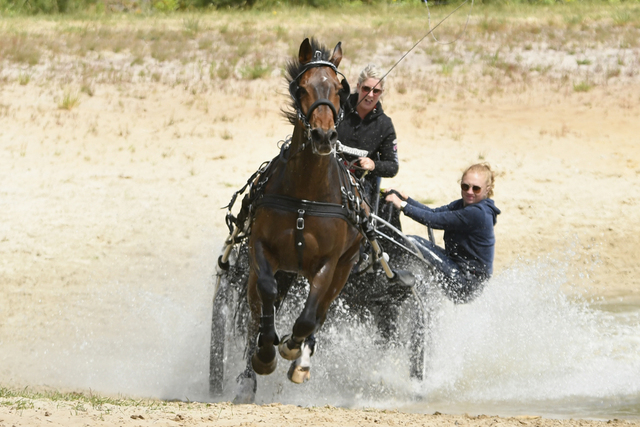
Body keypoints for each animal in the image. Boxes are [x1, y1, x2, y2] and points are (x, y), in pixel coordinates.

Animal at [232, 38, 364, 402]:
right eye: (302, 88)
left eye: (339, 89)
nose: (323, 136)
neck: (306, 194)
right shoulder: (261, 249)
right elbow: (266, 295)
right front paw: (265, 353)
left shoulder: (329, 264)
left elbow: (308, 318)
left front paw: (293, 347)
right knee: (256, 310)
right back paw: (249, 375)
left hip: (344, 268)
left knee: (321, 312)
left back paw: (301, 359)